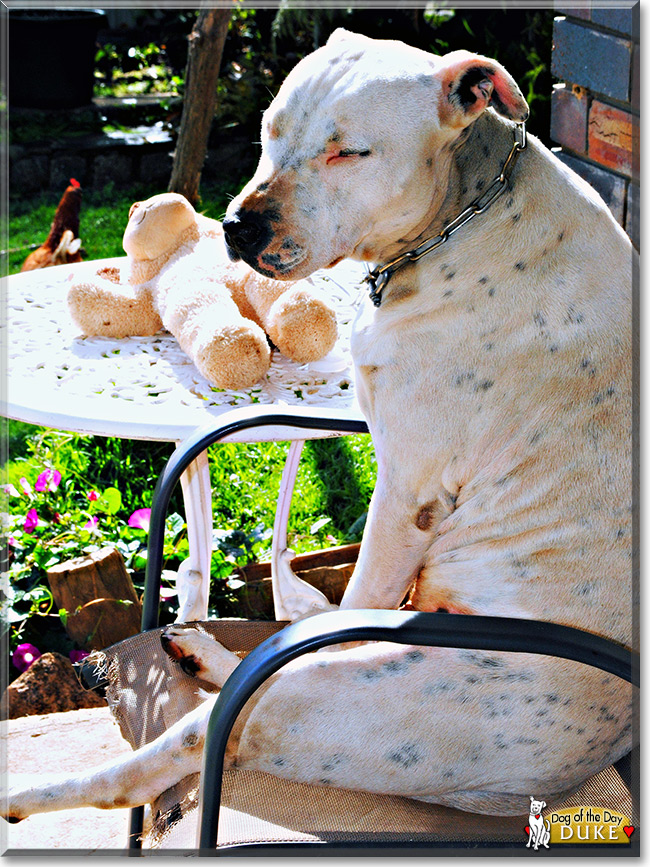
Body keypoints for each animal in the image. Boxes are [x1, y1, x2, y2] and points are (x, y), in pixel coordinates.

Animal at [3, 28, 632, 828]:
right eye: (271, 131)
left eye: (348, 153)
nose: (237, 226)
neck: (463, 216)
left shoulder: (407, 496)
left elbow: (359, 593)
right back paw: (208, 653)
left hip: (332, 698)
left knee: (180, 746)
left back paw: (31, 793)